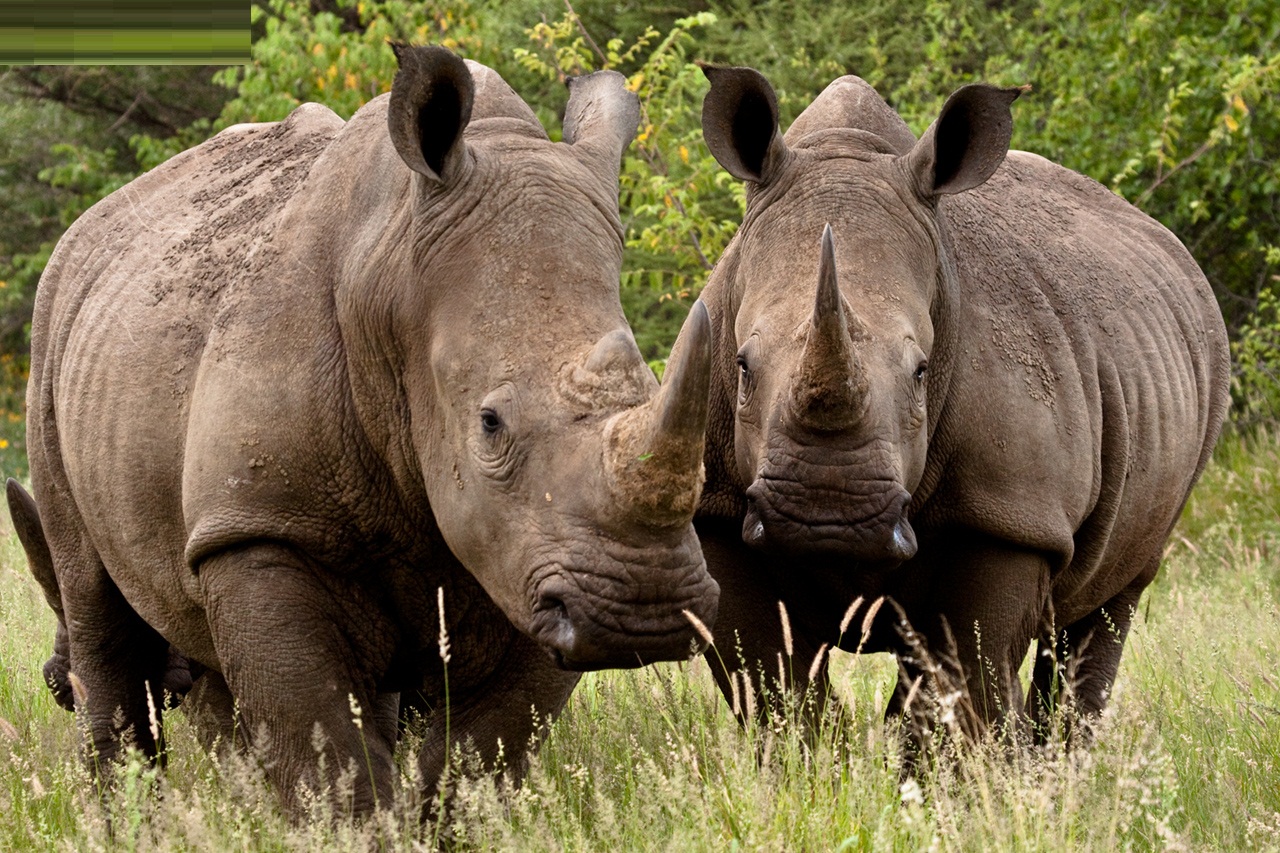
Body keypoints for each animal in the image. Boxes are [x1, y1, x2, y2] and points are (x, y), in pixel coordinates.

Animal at [7, 45, 720, 814]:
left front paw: (436, 822)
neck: (393, 280)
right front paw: (346, 825)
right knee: (100, 612)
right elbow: (331, 756)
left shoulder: (533, 553)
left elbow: (479, 754)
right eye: (489, 424)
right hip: (55, 328)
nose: (645, 608)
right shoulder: (261, 524)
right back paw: (131, 820)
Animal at [692, 65, 1229, 742]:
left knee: (1111, 600)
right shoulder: (718, 508)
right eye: (742, 366)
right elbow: (772, 684)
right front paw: (808, 763)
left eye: (922, 373)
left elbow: (969, 676)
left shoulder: (1009, 516)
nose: (827, 516)